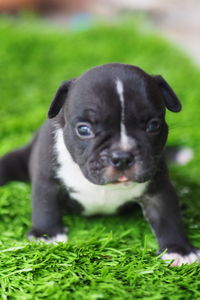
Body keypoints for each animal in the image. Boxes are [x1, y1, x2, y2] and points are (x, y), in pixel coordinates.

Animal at [0, 63, 199, 268]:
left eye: (153, 126)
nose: (122, 157)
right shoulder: (47, 178)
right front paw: (46, 235)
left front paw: (179, 250)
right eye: (83, 130)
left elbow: (168, 216)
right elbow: (45, 204)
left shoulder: (158, 190)